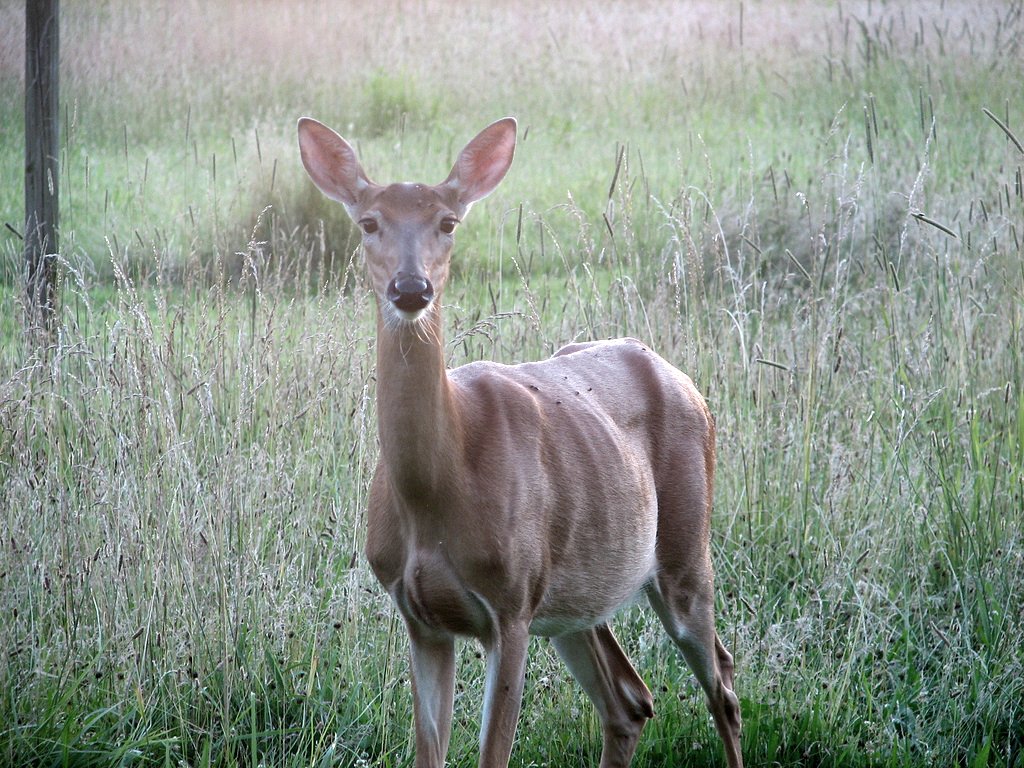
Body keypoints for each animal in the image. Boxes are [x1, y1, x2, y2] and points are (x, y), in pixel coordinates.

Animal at [296, 115, 745, 768]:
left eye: (448, 222)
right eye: (369, 222)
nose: (411, 288)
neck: (437, 488)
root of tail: (685, 382)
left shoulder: (510, 605)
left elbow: (494, 753)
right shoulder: (420, 617)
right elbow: (429, 752)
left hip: (684, 551)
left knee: (723, 683)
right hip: (573, 600)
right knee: (631, 700)